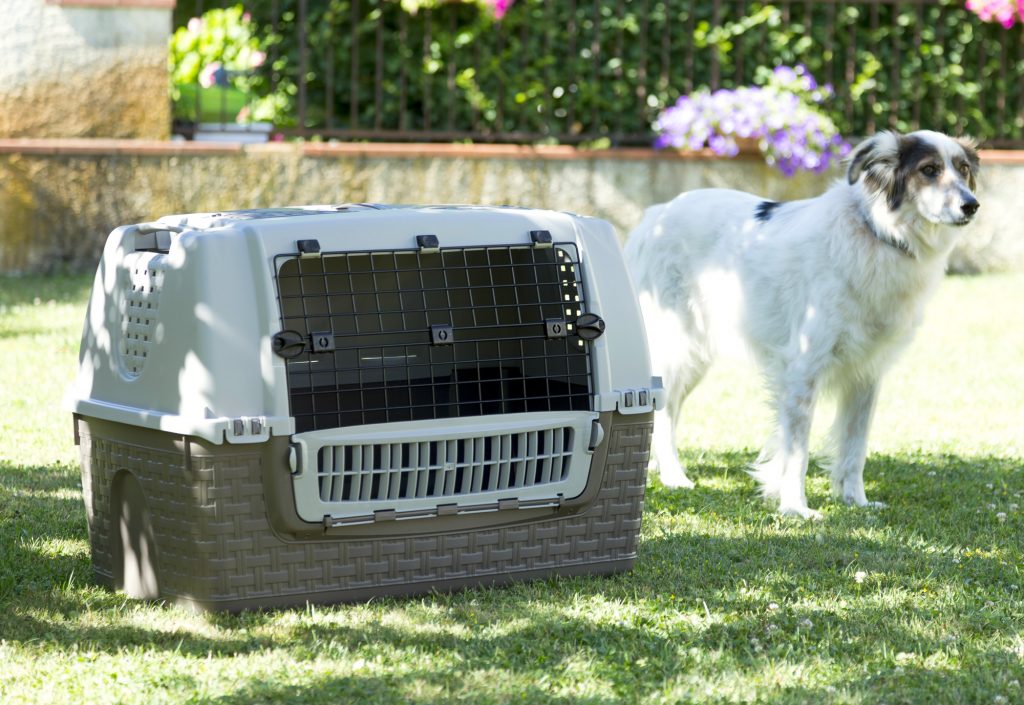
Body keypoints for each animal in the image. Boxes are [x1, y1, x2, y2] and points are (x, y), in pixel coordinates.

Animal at [626, 130, 978, 518]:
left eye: (963, 169)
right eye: (929, 170)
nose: (972, 205)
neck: (877, 232)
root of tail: (655, 215)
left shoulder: (866, 373)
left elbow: (855, 446)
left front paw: (855, 500)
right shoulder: (802, 370)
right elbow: (797, 452)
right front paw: (795, 507)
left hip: (694, 356)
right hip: (678, 346)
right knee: (662, 412)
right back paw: (674, 476)